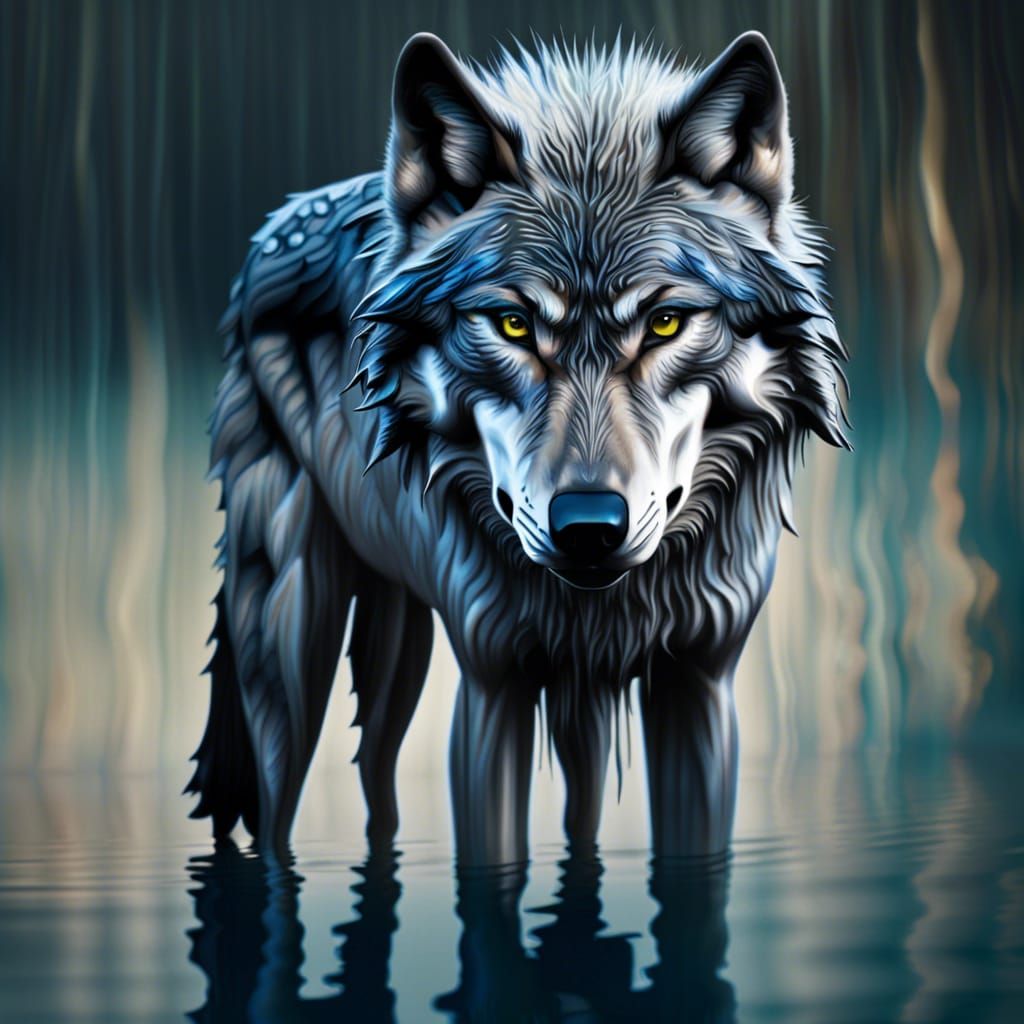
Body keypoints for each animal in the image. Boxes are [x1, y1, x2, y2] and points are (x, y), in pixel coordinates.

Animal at [187, 31, 848, 866]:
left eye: (666, 322)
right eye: (511, 325)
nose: (589, 527)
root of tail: (271, 228)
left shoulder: (696, 682)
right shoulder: (492, 681)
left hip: (401, 642)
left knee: (387, 778)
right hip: (293, 635)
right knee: (279, 813)